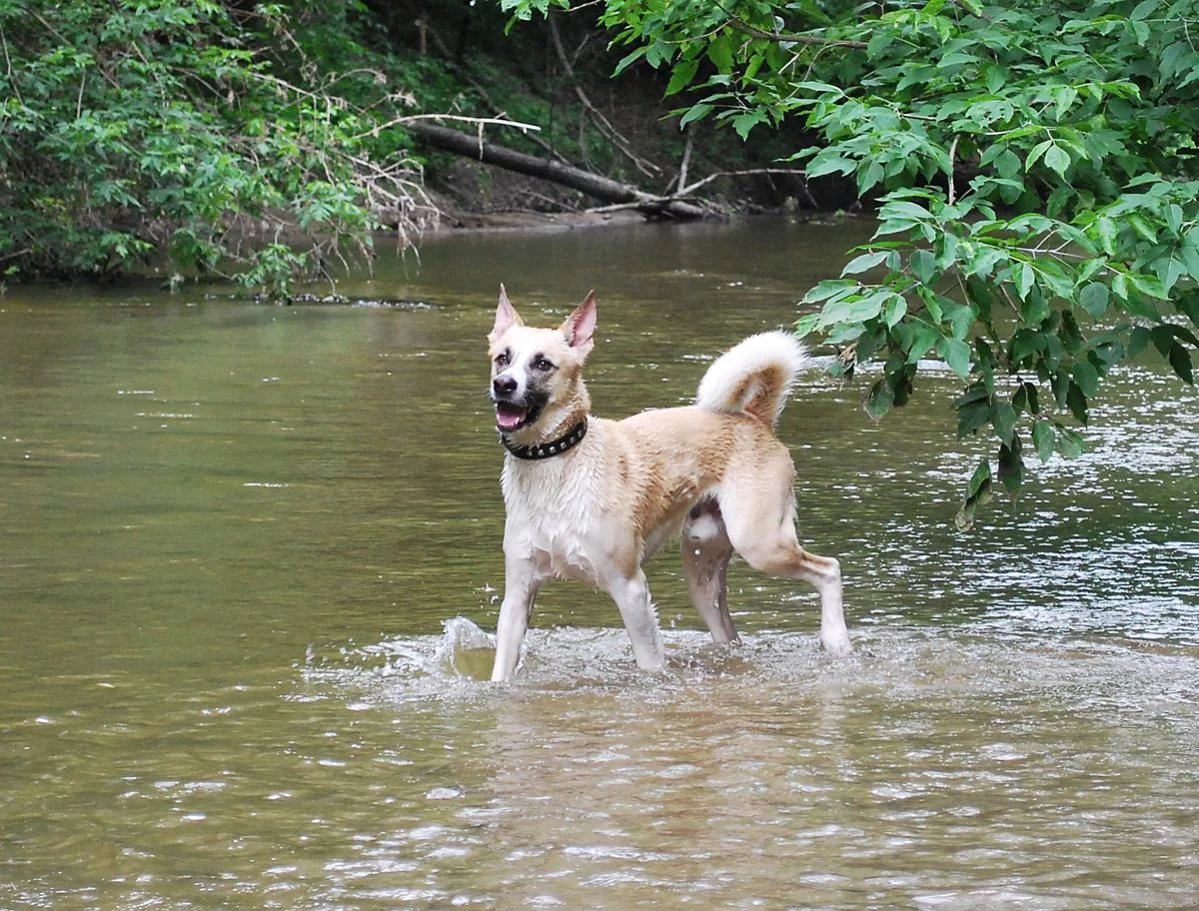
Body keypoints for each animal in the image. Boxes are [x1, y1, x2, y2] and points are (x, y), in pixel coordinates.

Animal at [486, 286, 851, 681]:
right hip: (703, 574)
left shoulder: (630, 588)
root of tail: (754, 419)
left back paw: (837, 642)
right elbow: (501, 667)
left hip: (761, 544)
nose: (503, 385)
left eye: (542, 364)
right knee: (729, 634)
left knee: (829, 569)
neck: (556, 464)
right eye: (502, 358)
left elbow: (650, 662)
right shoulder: (518, 593)